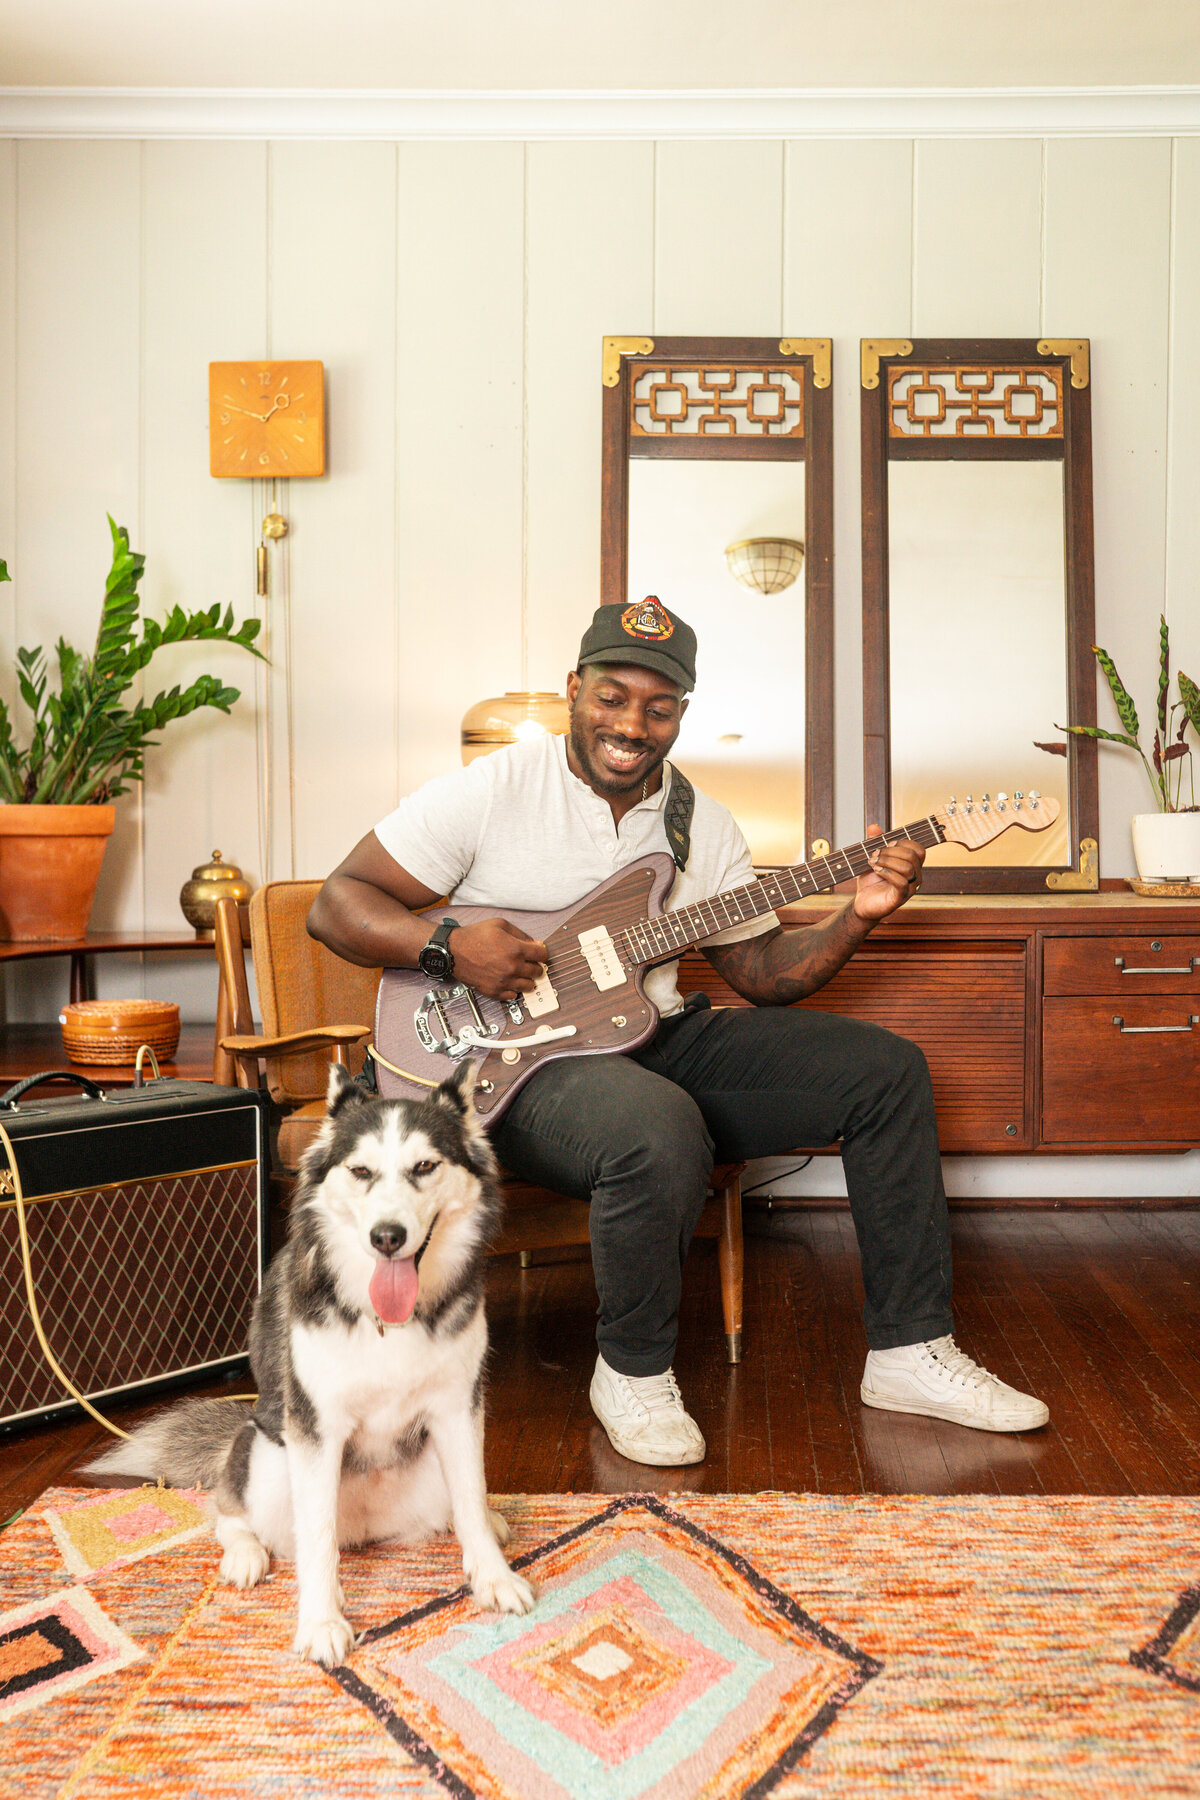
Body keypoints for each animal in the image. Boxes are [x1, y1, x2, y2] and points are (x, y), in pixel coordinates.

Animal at [86, 1058, 532, 1663]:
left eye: (424, 1166)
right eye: (361, 1171)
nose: (387, 1237)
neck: (385, 1318)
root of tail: (368, 1526)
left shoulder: (458, 1410)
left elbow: (471, 1496)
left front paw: (492, 1576)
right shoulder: (316, 1428)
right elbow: (316, 1539)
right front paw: (321, 1621)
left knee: (459, 1507)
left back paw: (487, 1520)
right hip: (268, 1459)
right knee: (237, 1513)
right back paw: (246, 1553)